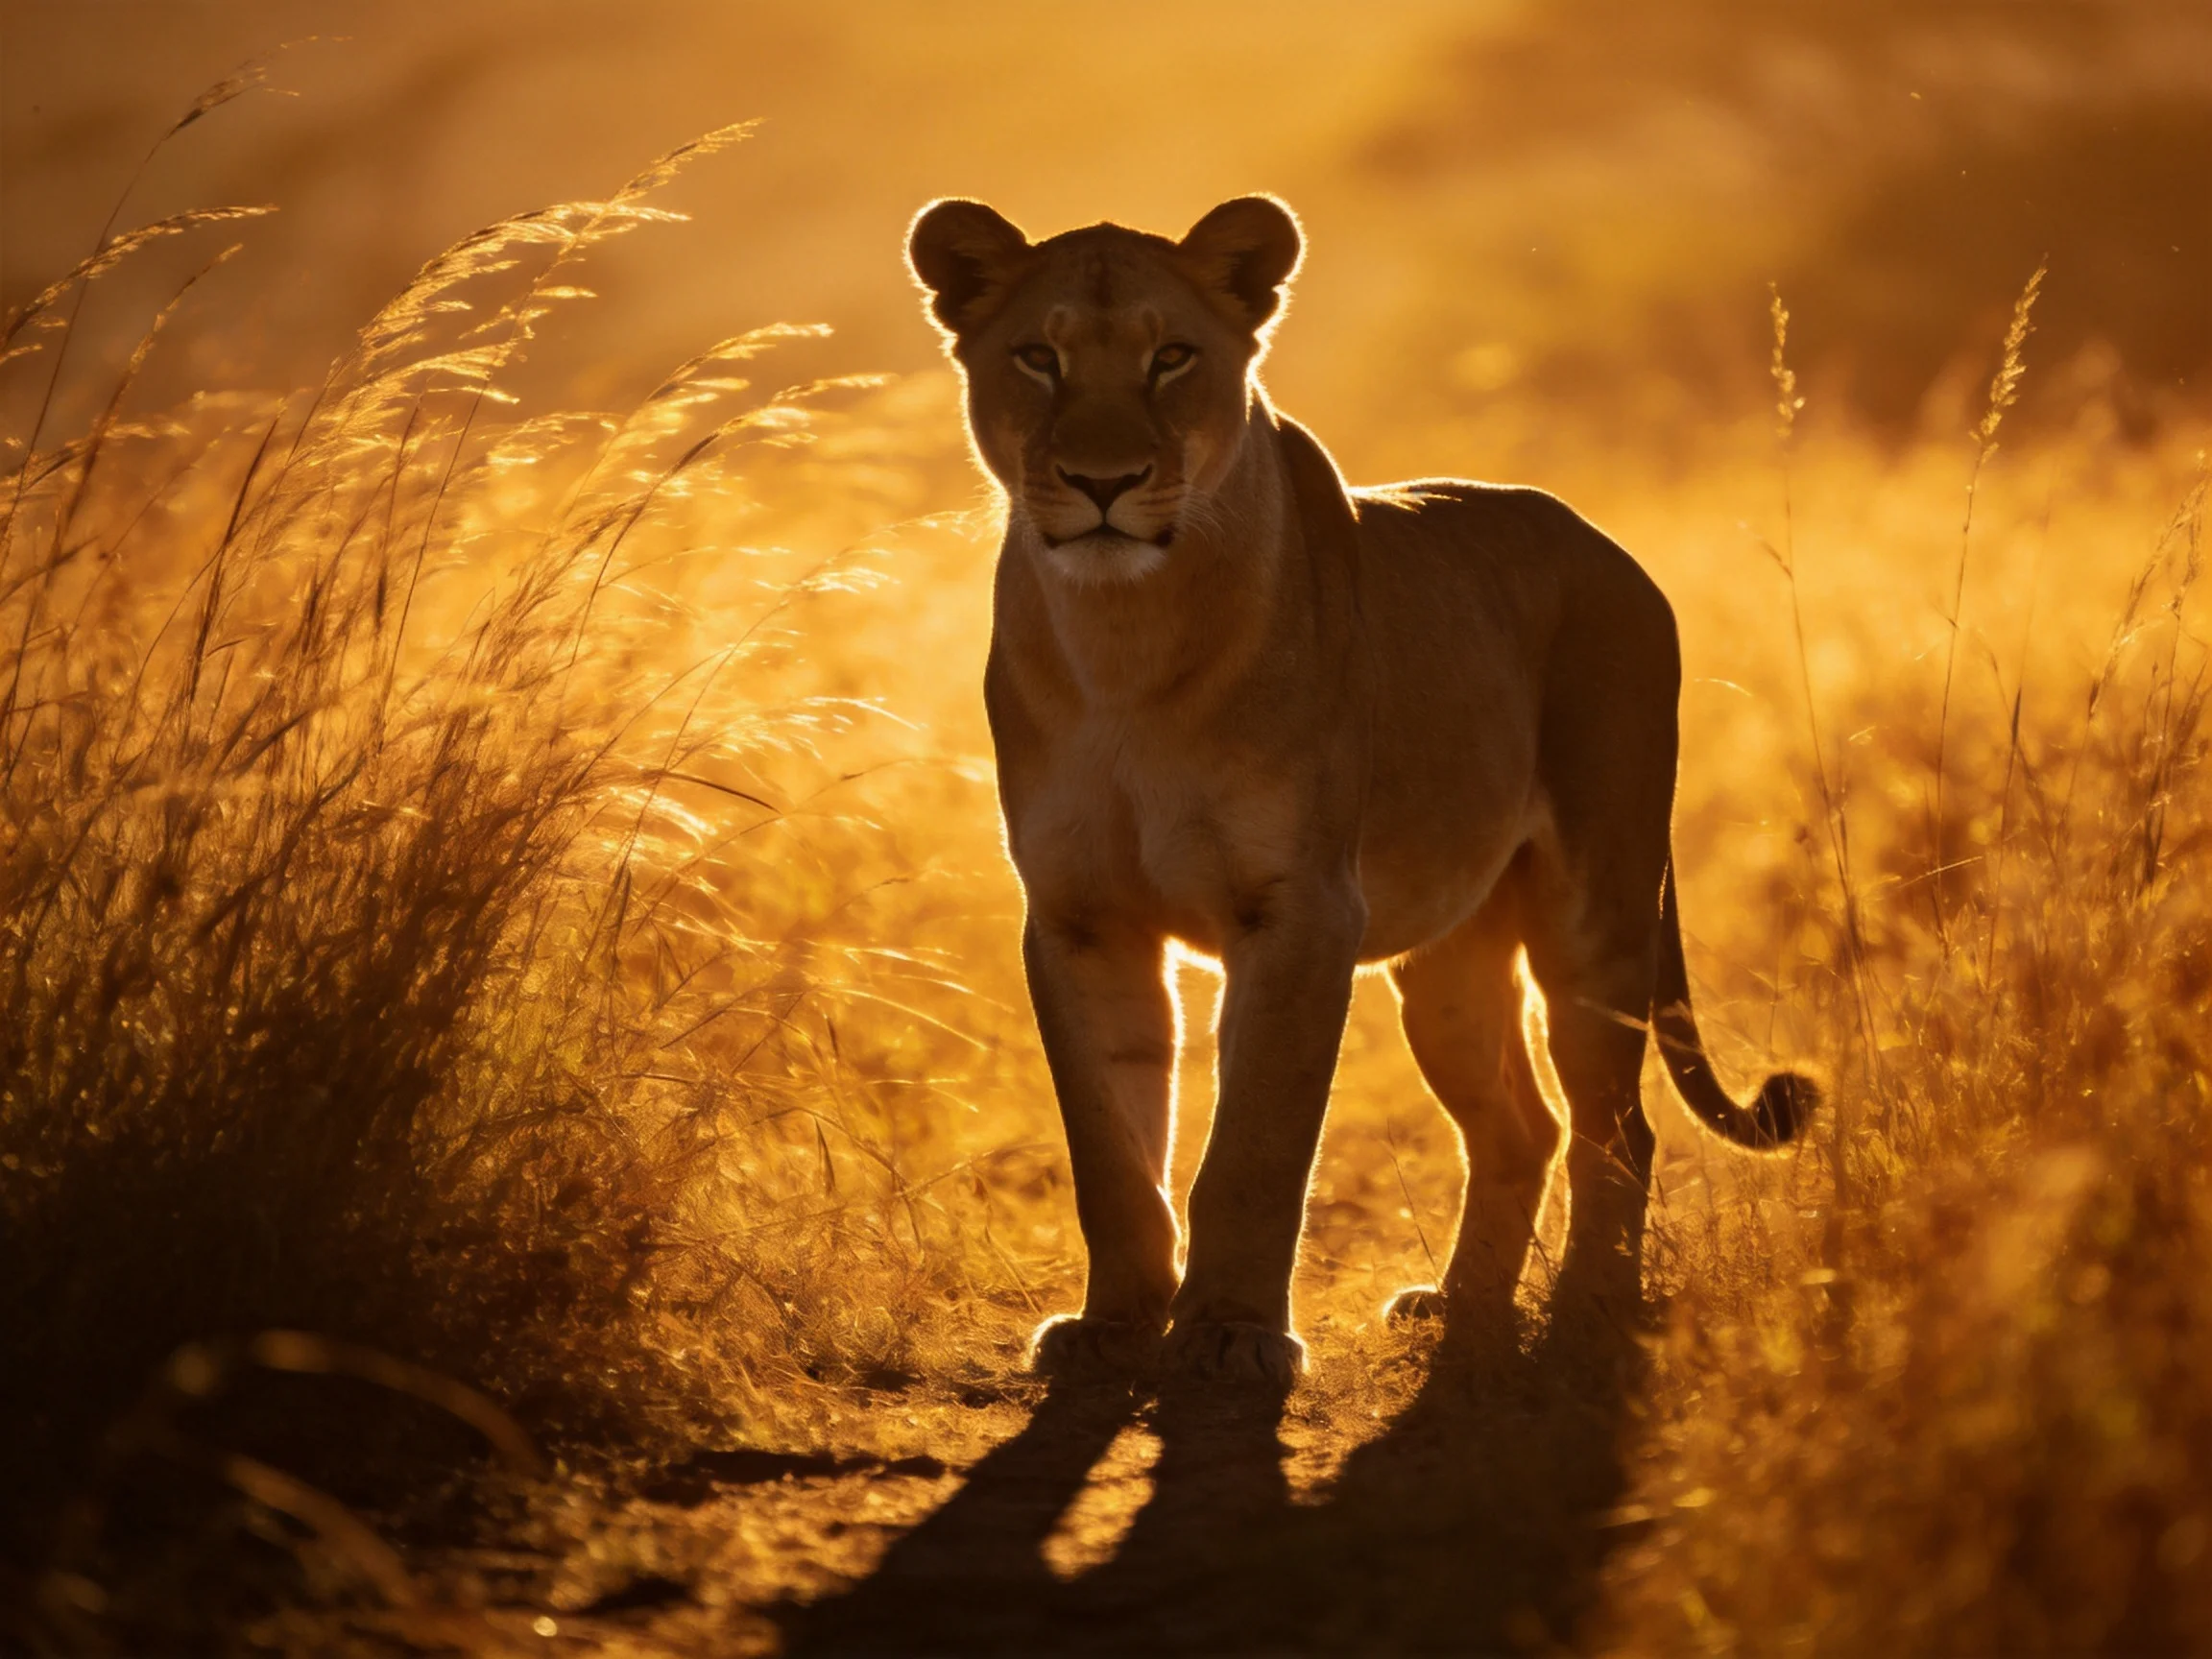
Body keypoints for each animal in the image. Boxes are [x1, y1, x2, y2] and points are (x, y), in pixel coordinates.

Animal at [907, 194, 1818, 1389]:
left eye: (1172, 357)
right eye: (1037, 357)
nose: (1106, 484)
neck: (1125, 639)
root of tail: (1608, 545)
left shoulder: (1301, 911)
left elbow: (1254, 1145)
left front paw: (1232, 1332)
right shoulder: (1078, 917)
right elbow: (1111, 1148)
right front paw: (1112, 1327)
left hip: (1600, 903)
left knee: (1617, 1123)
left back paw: (1588, 1304)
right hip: (1451, 963)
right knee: (1521, 1126)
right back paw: (1460, 1302)